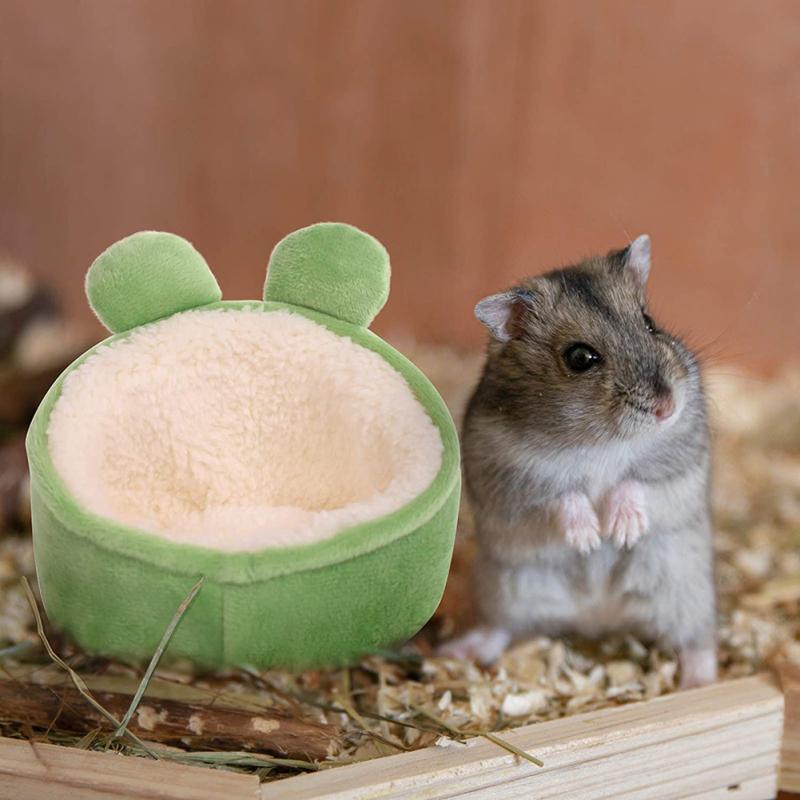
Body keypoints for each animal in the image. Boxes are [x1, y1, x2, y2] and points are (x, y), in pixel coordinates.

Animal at [439, 236, 717, 688]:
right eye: (580, 358)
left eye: (649, 322)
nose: (667, 407)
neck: (600, 440)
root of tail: (597, 618)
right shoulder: (511, 479)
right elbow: (561, 496)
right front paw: (589, 538)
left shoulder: (681, 460)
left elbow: (636, 482)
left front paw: (620, 531)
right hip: (506, 589)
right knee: (500, 628)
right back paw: (456, 651)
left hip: (686, 589)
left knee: (698, 640)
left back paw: (699, 682)